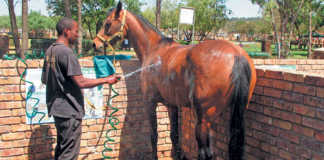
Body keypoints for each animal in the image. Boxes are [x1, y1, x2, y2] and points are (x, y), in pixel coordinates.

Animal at [92, 1, 256, 159]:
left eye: (107, 23)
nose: (95, 44)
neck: (154, 49)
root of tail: (237, 55)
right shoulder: (172, 105)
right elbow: (174, 136)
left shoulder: (150, 102)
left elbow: (154, 136)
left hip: (203, 120)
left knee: (205, 152)